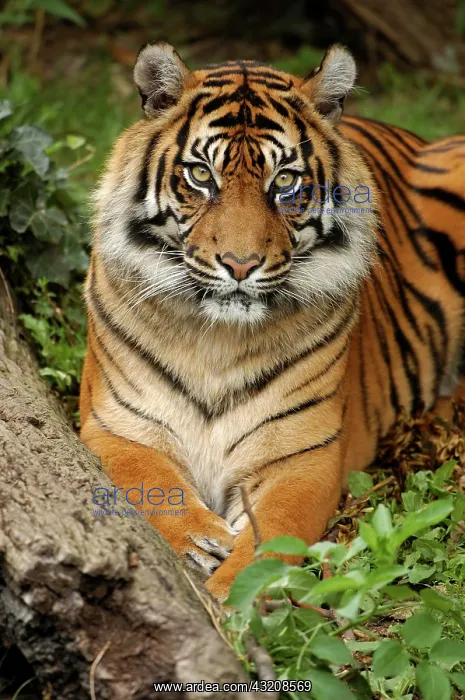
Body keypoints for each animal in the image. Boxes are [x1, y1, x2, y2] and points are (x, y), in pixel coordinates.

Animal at [80, 41, 465, 601]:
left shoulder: (305, 455)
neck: (215, 340)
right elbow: (148, 485)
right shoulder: (115, 427)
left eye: (284, 181)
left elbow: (276, 536)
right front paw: (203, 541)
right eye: (201, 175)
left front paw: (233, 597)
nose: (240, 265)